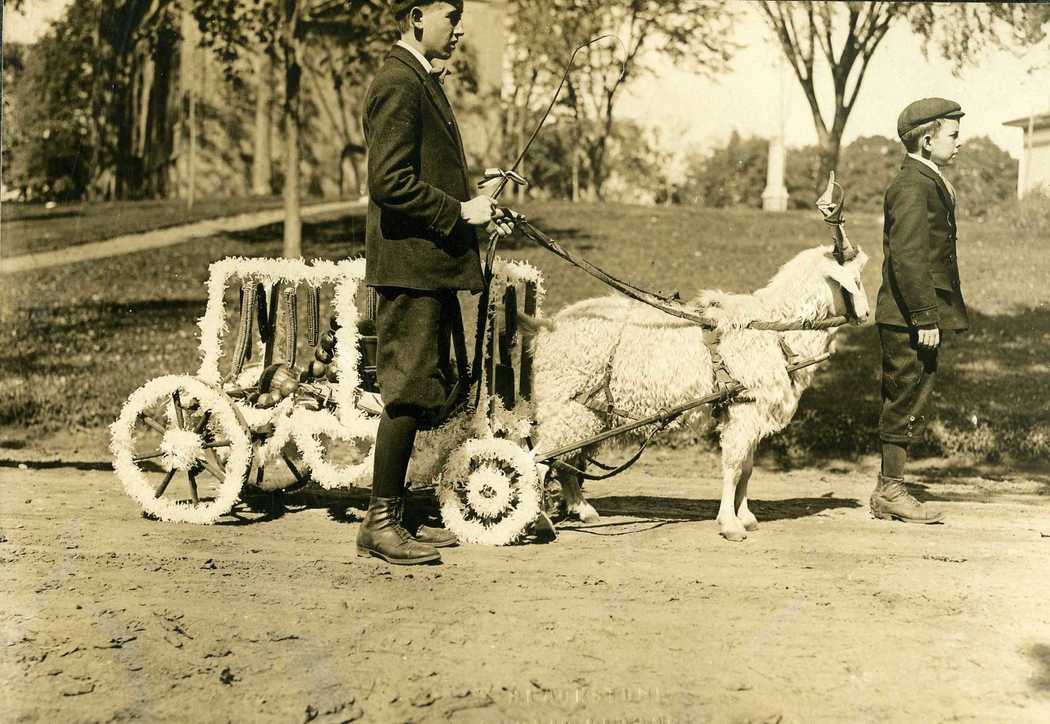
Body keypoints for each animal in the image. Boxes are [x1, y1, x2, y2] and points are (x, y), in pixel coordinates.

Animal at [533, 245, 869, 537]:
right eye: (856, 279)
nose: (866, 315)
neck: (773, 327)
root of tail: (547, 330)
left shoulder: (748, 413)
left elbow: (747, 468)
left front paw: (746, 517)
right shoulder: (744, 409)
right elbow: (734, 467)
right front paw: (730, 524)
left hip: (590, 412)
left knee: (563, 460)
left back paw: (582, 510)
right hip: (566, 403)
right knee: (540, 456)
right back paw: (540, 520)